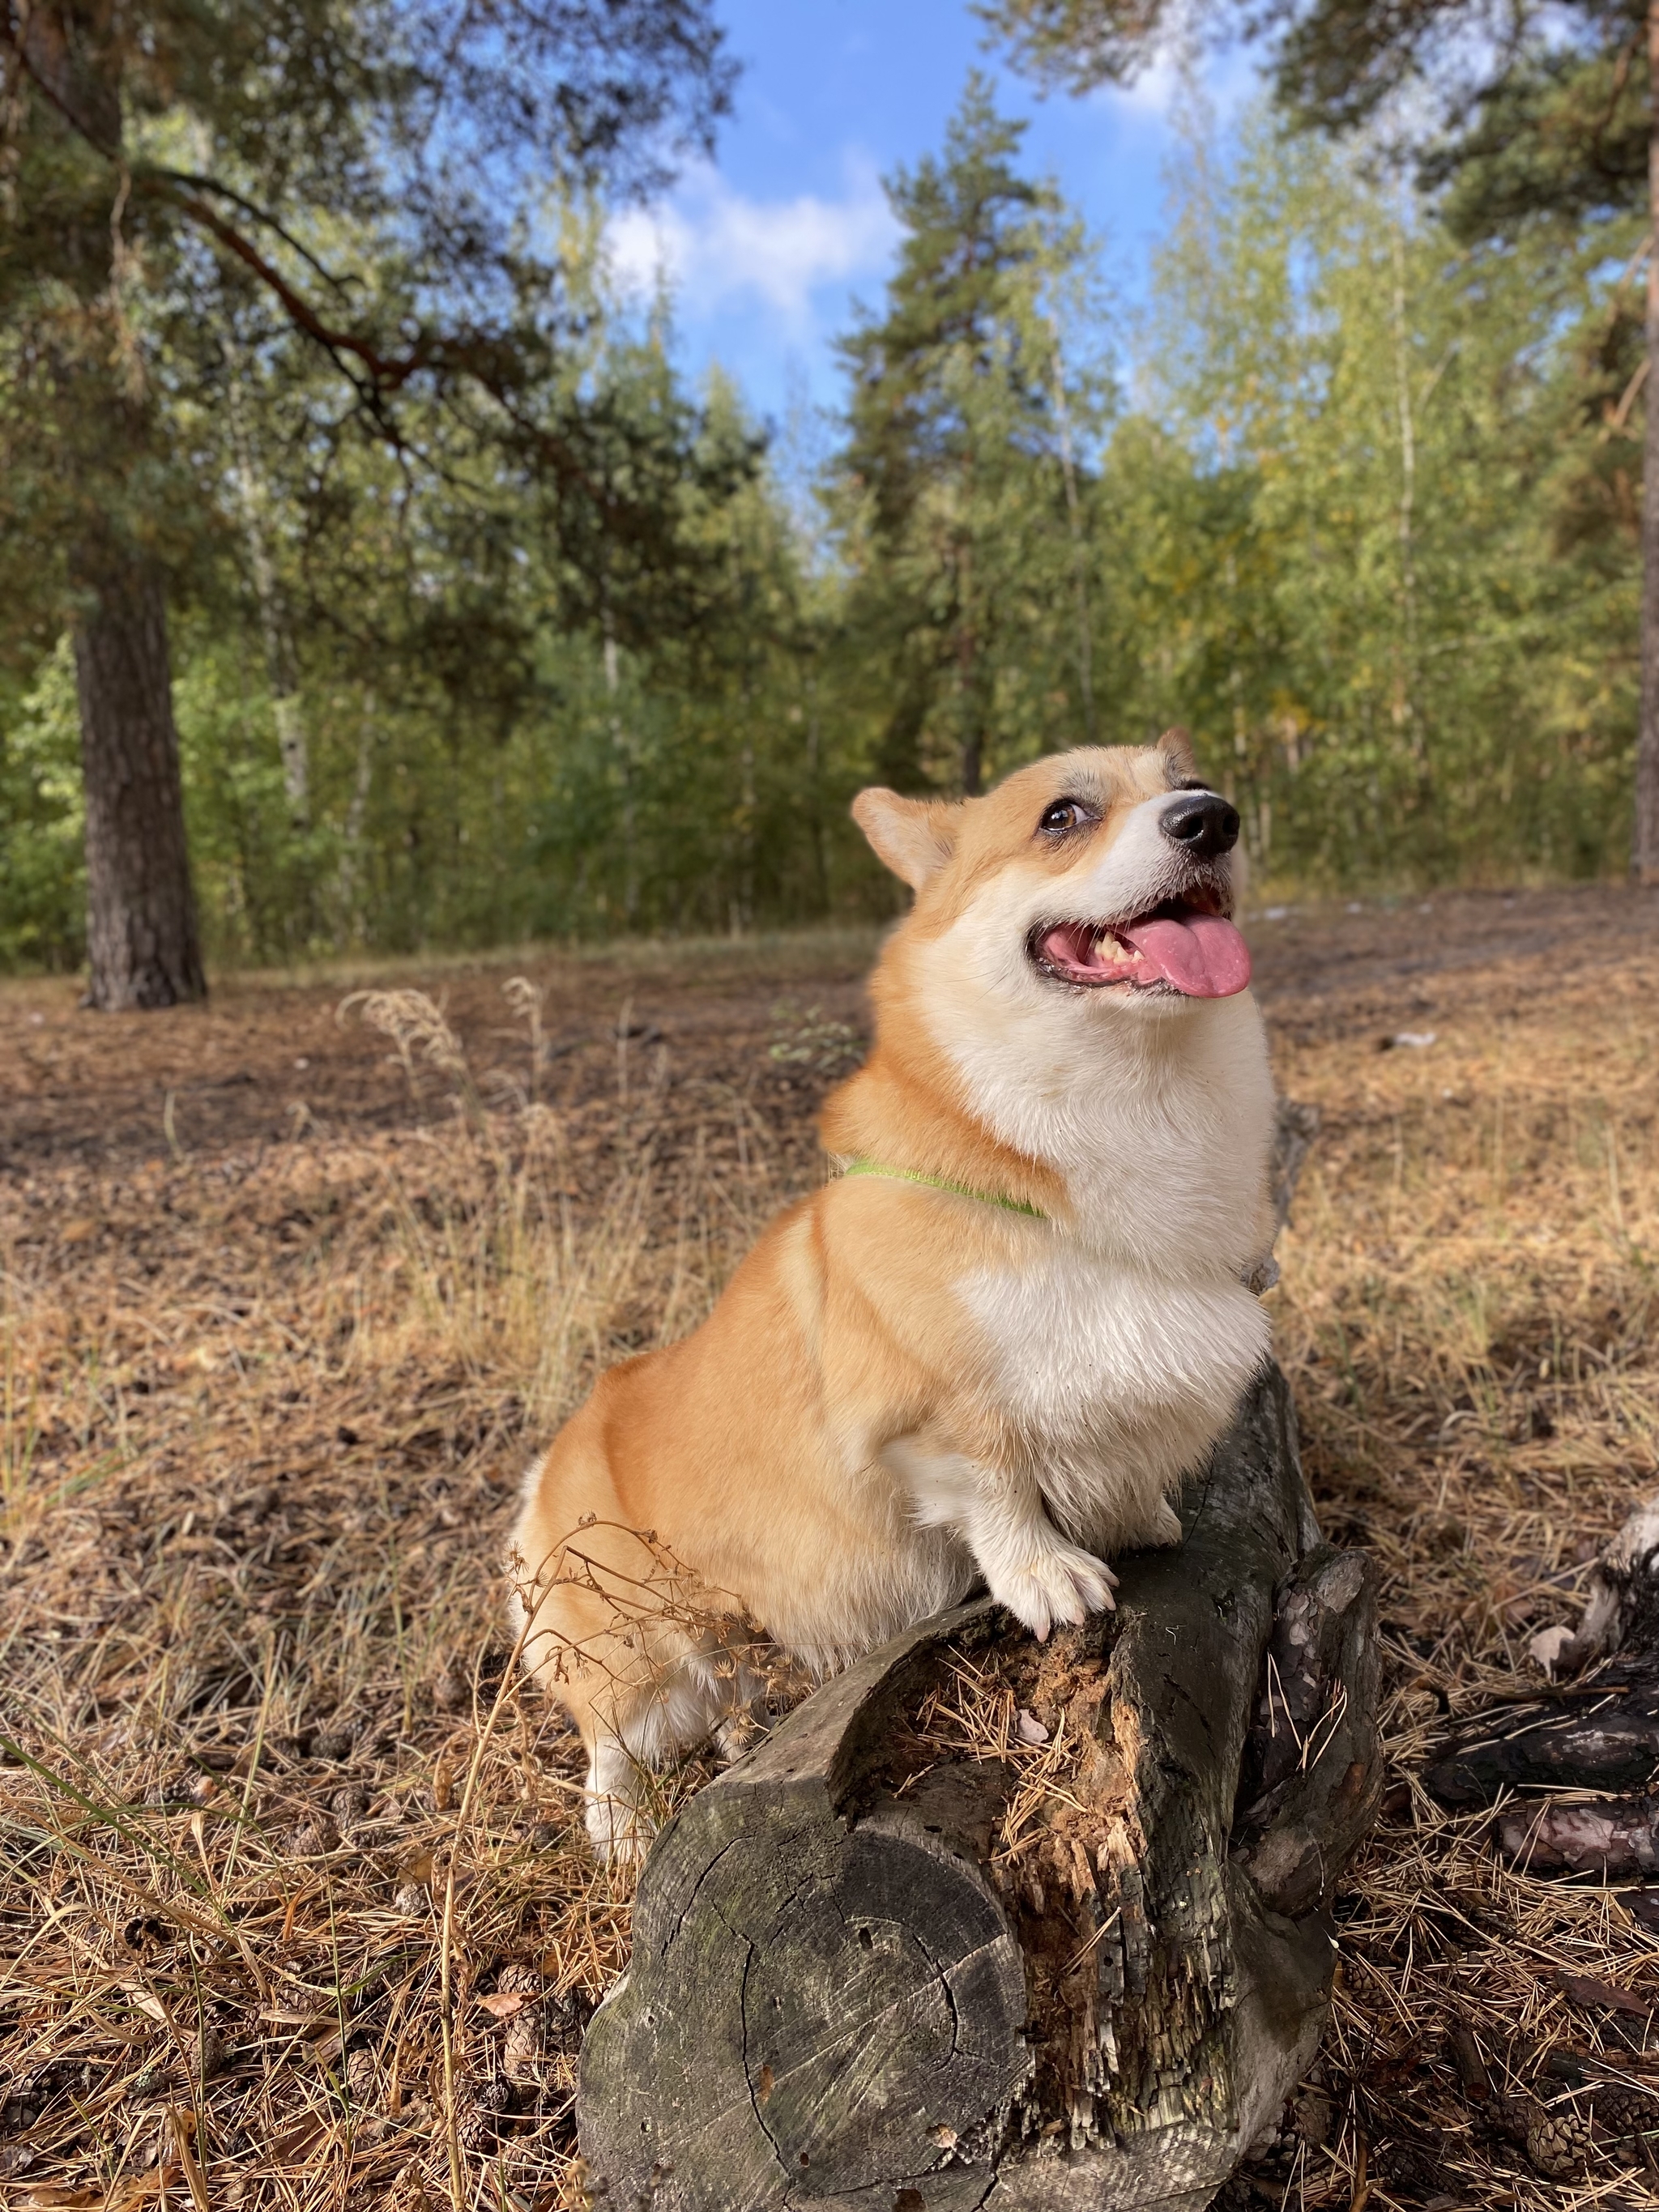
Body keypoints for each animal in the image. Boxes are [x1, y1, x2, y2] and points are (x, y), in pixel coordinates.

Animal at [513, 734, 1282, 1858]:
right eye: (1062, 816)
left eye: (1185, 778)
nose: (1212, 819)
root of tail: (556, 1455)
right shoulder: (928, 1410)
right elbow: (998, 1484)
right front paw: (1049, 1574)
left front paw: (1138, 1515)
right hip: (637, 1661)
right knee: (608, 1743)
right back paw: (619, 1833)